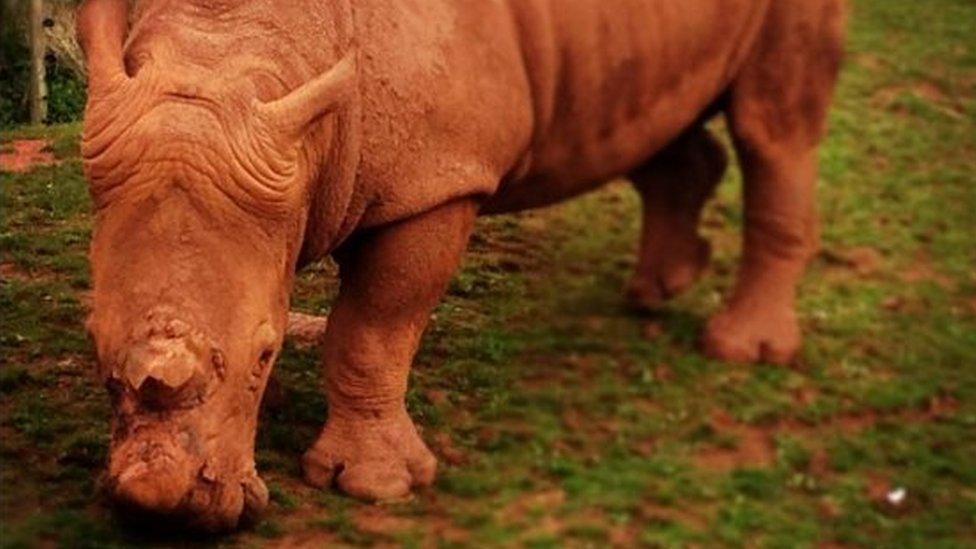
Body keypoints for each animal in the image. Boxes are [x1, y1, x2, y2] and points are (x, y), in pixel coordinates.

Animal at [78, 0, 848, 532]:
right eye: (93, 346)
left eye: (263, 358)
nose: (164, 513)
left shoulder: (437, 181)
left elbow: (373, 330)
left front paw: (375, 486)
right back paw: (657, 290)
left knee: (772, 127)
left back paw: (743, 349)